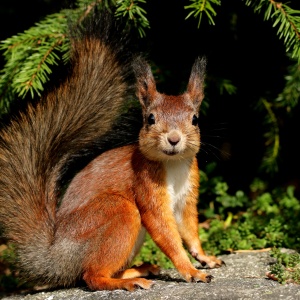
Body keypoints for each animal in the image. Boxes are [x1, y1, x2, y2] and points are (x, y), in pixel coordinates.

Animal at [0, 8, 224, 290]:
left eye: (195, 119)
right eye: (150, 119)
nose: (174, 139)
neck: (172, 165)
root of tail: (56, 257)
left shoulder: (187, 196)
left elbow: (189, 229)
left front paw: (205, 258)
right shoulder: (146, 187)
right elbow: (165, 232)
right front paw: (190, 270)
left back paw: (139, 270)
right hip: (118, 212)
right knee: (91, 275)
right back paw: (127, 282)